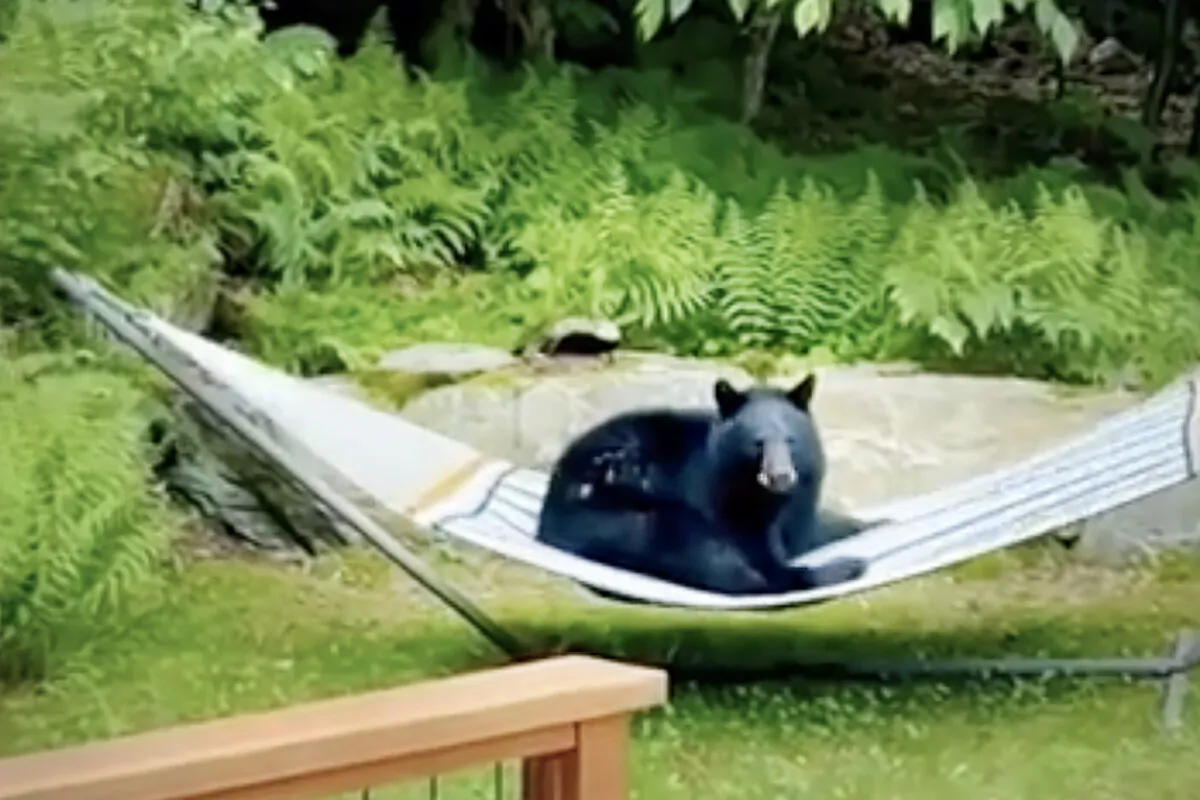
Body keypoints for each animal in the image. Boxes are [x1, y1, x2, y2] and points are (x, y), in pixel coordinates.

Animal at [534, 373, 873, 600]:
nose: (781, 476)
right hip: (625, 512)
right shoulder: (720, 496)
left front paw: (865, 524)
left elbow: (815, 528)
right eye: (758, 443)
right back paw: (846, 566)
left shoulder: (800, 503)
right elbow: (756, 550)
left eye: (791, 441)